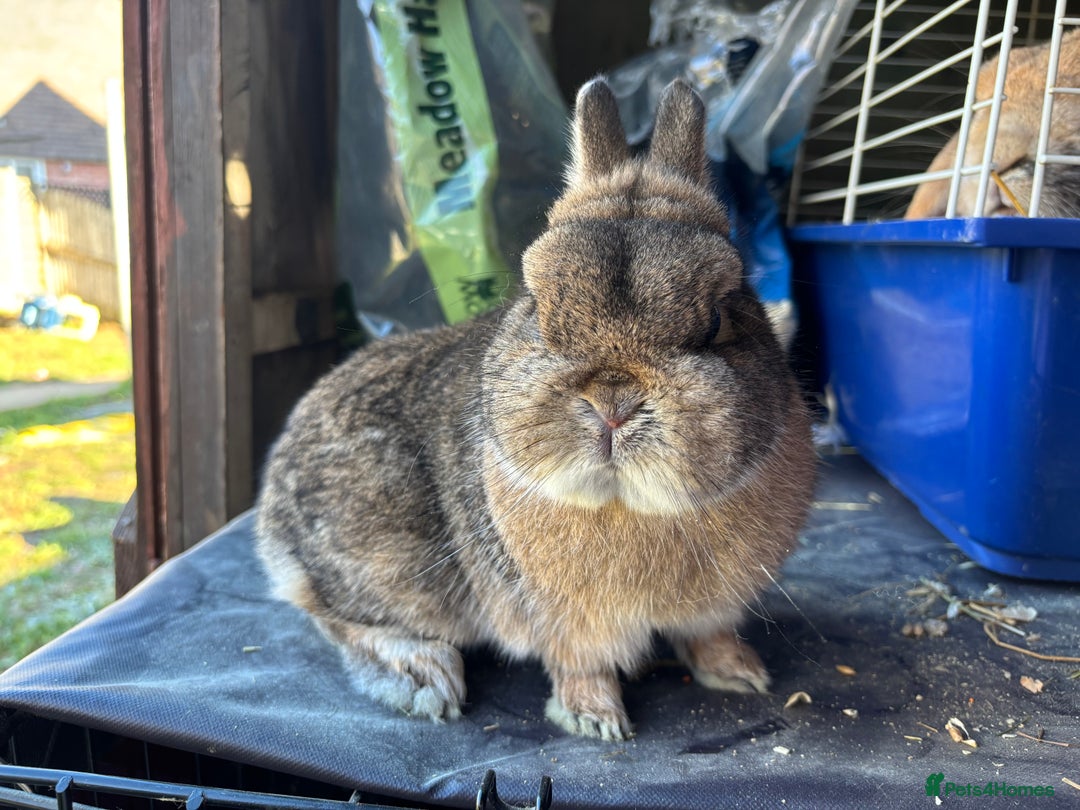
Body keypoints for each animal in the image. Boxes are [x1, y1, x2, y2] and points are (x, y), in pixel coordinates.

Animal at [255, 78, 816, 741]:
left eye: (716, 321)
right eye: (537, 306)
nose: (613, 404)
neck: (633, 508)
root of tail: (272, 505)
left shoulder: (714, 606)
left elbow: (709, 636)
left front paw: (740, 674)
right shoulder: (566, 622)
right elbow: (580, 665)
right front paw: (596, 720)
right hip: (393, 567)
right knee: (336, 616)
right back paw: (423, 676)